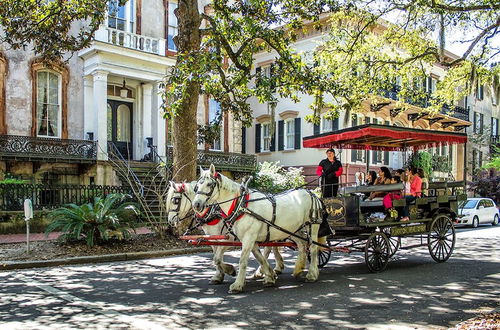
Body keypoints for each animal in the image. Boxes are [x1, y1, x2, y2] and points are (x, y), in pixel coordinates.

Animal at [191, 164, 324, 292]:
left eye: (209, 184)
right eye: (196, 186)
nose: (196, 204)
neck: (242, 205)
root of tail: (312, 194)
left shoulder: (247, 238)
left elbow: (242, 260)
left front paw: (237, 284)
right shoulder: (247, 239)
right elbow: (257, 257)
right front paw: (269, 276)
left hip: (312, 226)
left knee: (313, 247)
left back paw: (312, 274)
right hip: (295, 229)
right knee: (302, 245)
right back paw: (298, 269)